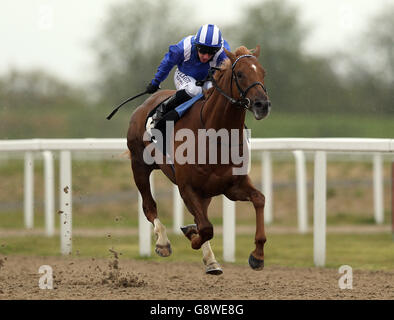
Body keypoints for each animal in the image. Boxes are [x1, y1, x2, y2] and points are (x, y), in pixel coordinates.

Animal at [126, 45, 270, 276]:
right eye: (240, 74)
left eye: (263, 73)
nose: (262, 105)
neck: (216, 135)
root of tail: (144, 105)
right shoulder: (187, 187)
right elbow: (206, 228)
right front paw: (192, 238)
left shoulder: (232, 186)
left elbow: (259, 199)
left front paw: (257, 255)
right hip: (139, 166)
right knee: (149, 206)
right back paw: (163, 243)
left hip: (206, 192)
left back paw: (210, 259)